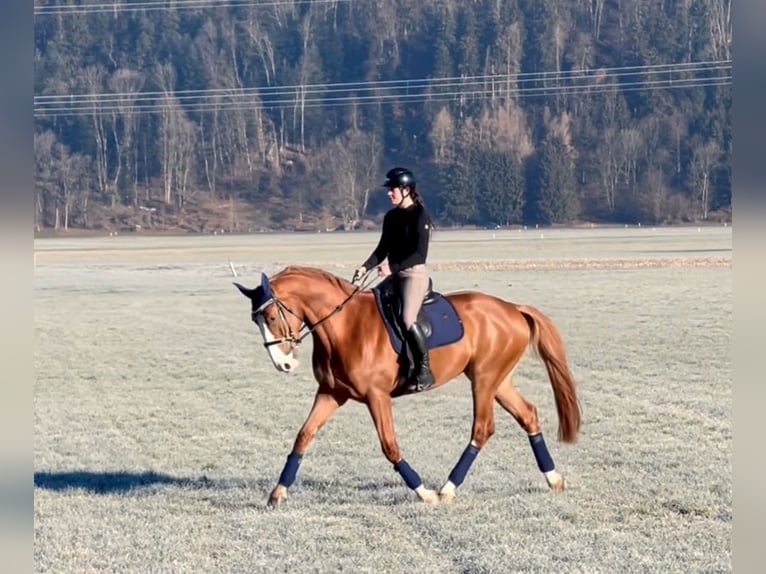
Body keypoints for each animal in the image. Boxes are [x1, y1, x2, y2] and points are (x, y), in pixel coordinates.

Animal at [234, 266, 584, 508]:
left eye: (270, 316)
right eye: (255, 320)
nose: (283, 364)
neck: (343, 327)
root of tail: (513, 308)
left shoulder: (377, 397)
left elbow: (389, 445)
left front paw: (423, 492)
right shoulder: (332, 393)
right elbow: (303, 436)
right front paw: (278, 493)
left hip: (484, 380)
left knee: (482, 428)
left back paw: (447, 489)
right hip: (496, 380)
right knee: (528, 415)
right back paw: (553, 478)